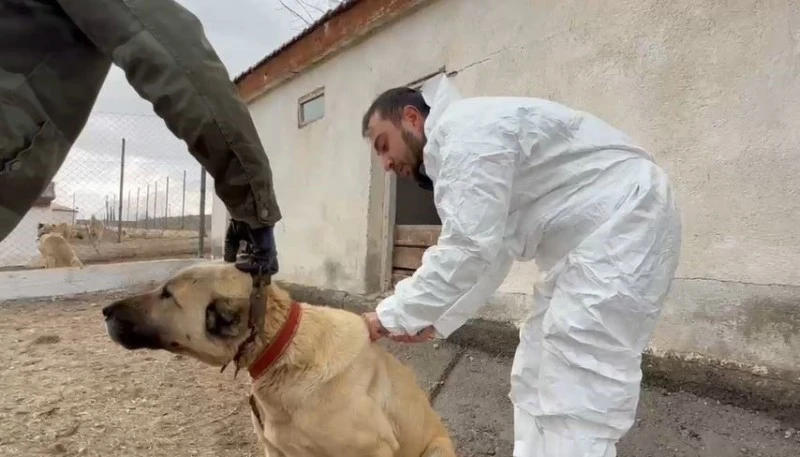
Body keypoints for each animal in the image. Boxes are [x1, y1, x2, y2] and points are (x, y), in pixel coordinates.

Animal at [101, 260, 456, 456]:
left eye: (167, 294)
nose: (105, 311)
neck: (282, 352)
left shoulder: (374, 448)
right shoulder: (276, 450)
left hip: (437, 450)